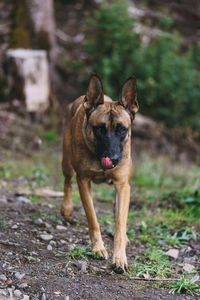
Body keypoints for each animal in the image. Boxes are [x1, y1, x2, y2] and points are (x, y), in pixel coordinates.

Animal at [61, 74, 139, 274]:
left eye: (122, 129)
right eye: (99, 129)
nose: (112, 159)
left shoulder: (123, 185)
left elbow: (120, 223)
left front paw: (119, 257)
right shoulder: (83, 181)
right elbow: (92, 218)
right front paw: (97, 248)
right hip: (66, 162)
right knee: (67, 181)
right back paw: (66, 207)